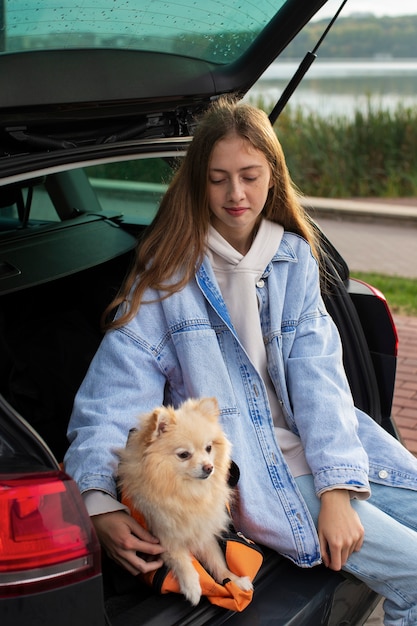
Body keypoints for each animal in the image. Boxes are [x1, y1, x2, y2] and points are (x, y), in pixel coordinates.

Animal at [118, 394, 252, 604]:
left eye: (208, 448)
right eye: (184, 454)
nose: (209, 467)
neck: (187, 491)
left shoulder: (202, 532)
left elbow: (217, 561)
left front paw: (234, 581)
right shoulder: (163, 535)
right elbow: (180, 558)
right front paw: (192, 587)